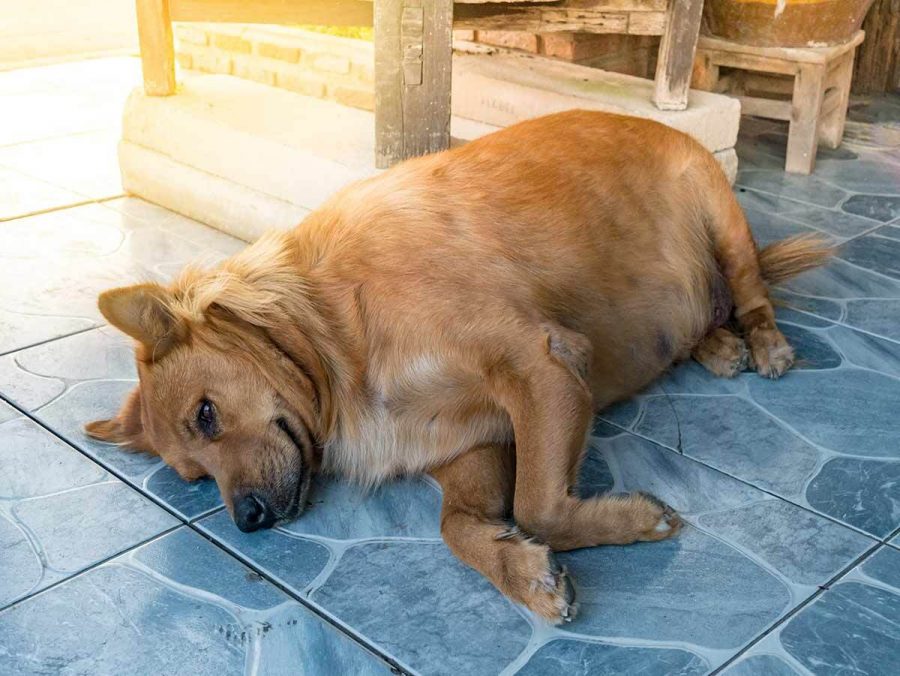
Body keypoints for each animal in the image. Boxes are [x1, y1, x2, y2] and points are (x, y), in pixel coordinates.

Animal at [84, 111, 828, 624]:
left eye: (206, 414)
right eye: (194, 477)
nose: (248, 521)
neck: (334, 332)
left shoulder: (542, 366)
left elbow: (538, 505)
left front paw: (628, 523)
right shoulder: (472, 443)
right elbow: (458, 527)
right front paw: (520, 570)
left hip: (723, 221)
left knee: (752, 294)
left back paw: (763, 344)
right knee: (706, 317)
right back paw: (717, 345)